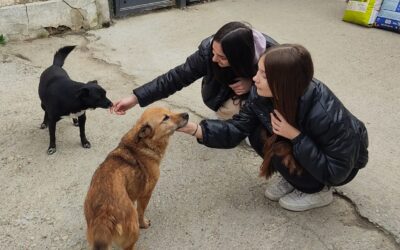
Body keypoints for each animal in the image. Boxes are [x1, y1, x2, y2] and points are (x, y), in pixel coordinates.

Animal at [83, 107, 189, 250]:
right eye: (165, 118)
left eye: (170, 111)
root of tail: (104, 216)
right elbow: (141, 212)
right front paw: (144, 223)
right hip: (132, 232)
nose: (187, 115)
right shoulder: (145, 195)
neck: (143, 145)